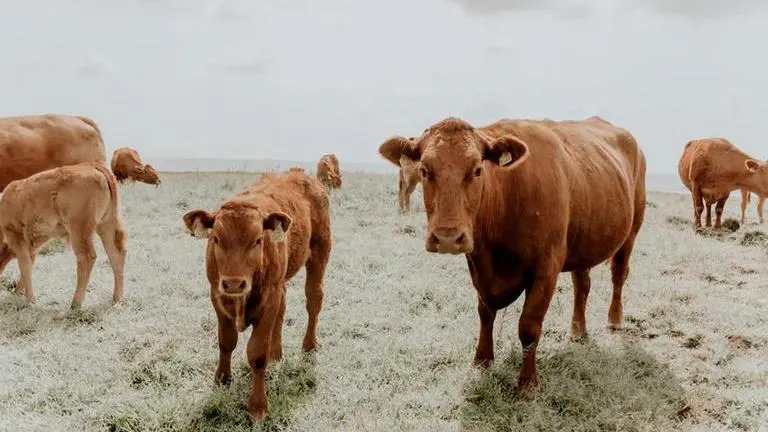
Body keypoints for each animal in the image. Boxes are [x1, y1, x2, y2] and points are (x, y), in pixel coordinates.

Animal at [0, 162, 126, 309]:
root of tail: (92, 166)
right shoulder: (31, 243)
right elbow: (29, 264)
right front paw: (18, 291)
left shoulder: (15, 234)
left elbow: (24, 264)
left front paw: (30, 298)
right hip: (107, 224)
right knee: (116, 253)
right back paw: (117, 298)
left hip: (79, 229)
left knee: (87, 257)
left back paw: (76, 303)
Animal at [182, 168, 331, 421]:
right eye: (216, 238)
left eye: (258, 240)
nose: (234, 283)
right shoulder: (217, 296)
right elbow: (226, 342)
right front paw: (222, 379)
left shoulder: (268, 300)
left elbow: (257, 354)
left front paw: (258, 406)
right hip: (281, 282)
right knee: (283, 310)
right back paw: (276, 353)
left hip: (319, 254)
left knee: (314, 301)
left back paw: (309, 345)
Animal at [378, 116, 646, 390]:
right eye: (424, 170)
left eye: (477, 170)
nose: (447, 238)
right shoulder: (479, 267)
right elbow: (485, 314)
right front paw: (482, 361)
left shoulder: (546, 268)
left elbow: (529, 325)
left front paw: (527, 382)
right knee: (582, 285)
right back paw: (578, 331)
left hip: (632, 230)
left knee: (618, 274)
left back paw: (614, 319)